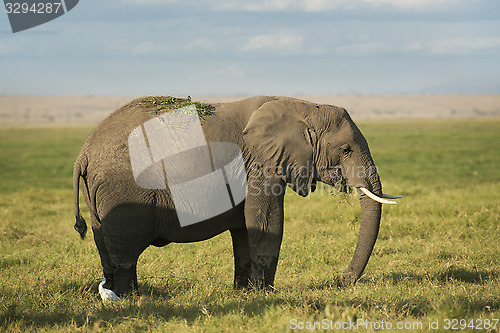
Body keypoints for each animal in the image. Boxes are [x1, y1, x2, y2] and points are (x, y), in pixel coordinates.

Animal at [72, 95, 400, 298]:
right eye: (345, 149)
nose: (342, 280)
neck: (303, 105)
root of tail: (83, 153)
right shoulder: (260, 165)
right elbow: (267, 222)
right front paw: (266, 294)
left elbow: (245, 228)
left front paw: (244, 292)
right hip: (121, 190)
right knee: (125, 250)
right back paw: (130, 297)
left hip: (97, 194)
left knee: (105, 246)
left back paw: (118, 293)